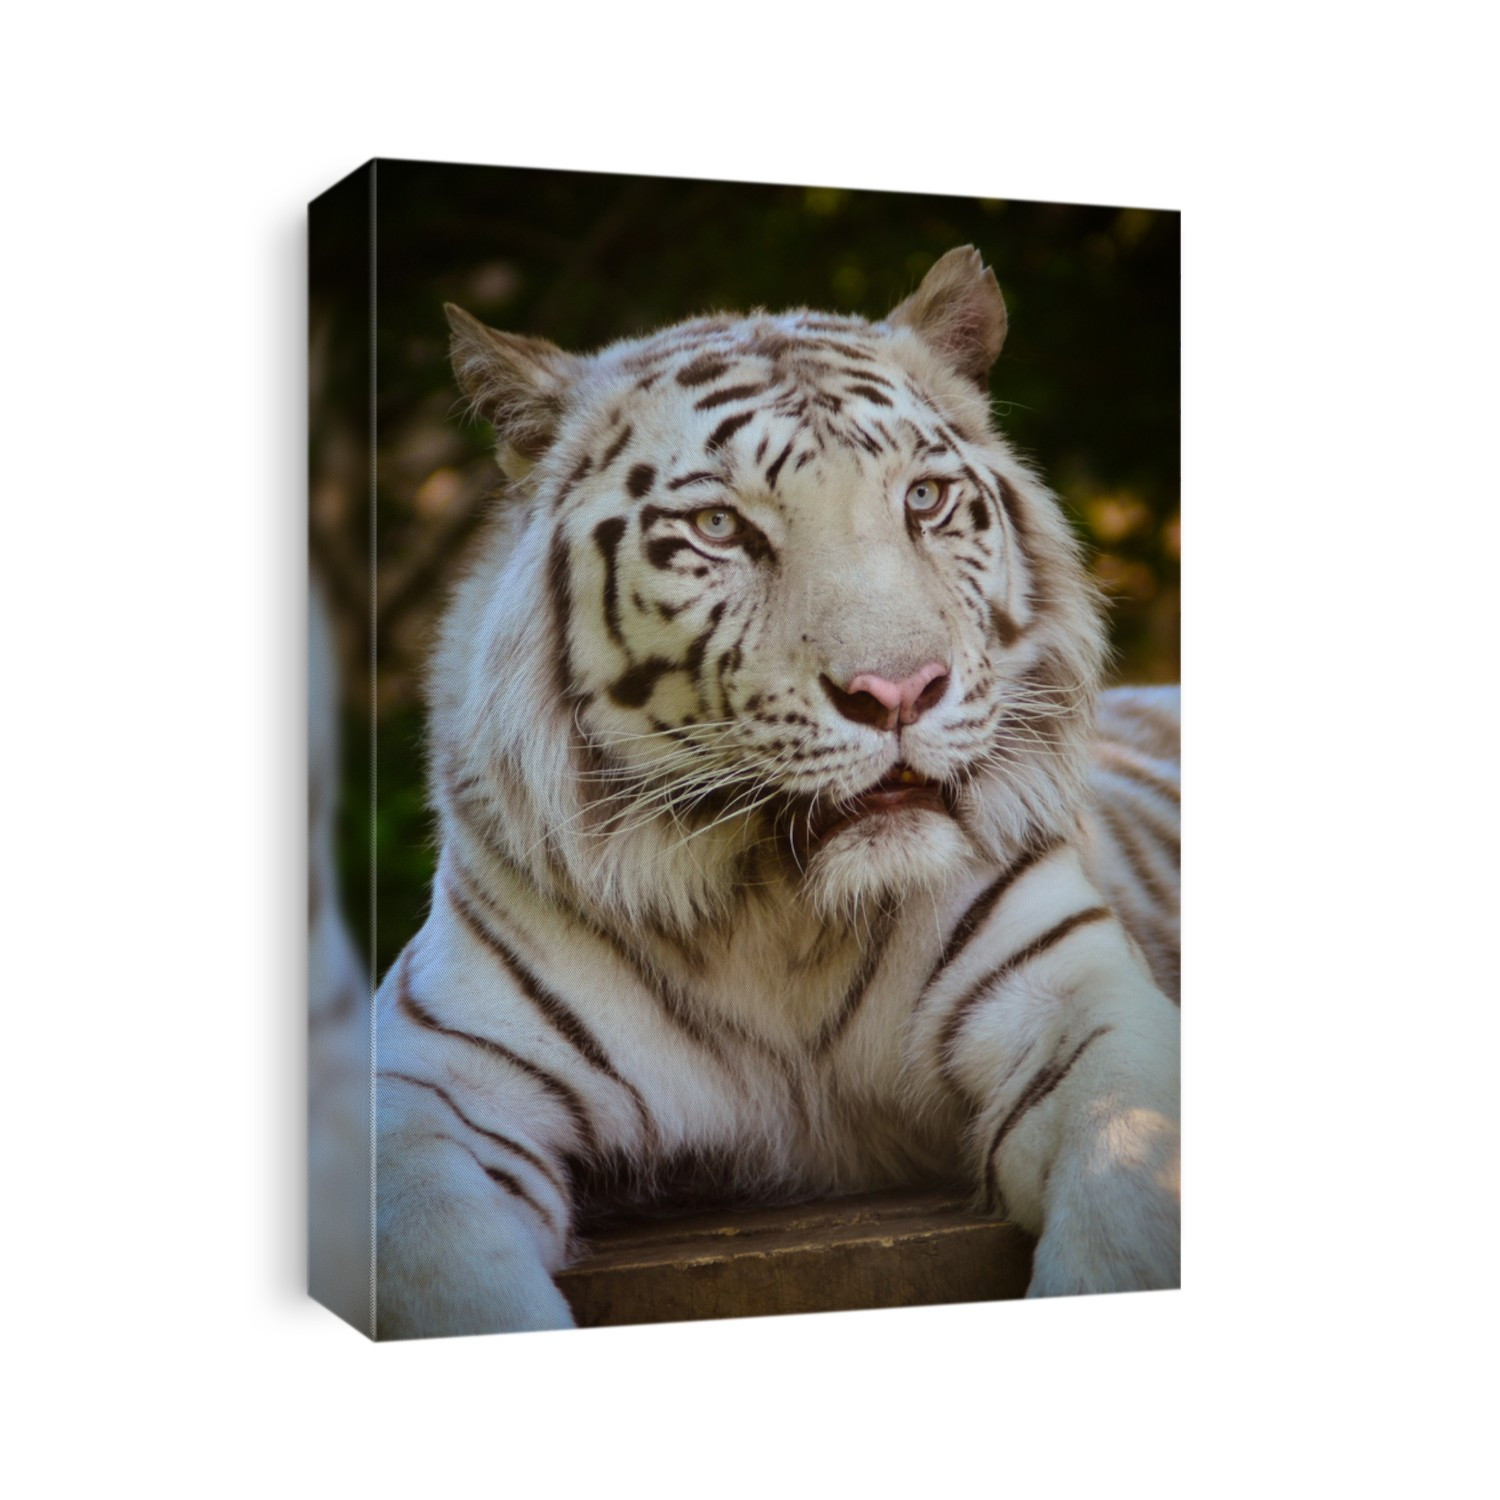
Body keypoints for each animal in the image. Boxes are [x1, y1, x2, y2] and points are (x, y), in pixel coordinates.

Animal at [372, 246, 1181, 1338]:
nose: (898, 692)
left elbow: (1129, 1202)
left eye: (923, 500)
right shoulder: (422, 1085)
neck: (781, 913)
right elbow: (439, 1274)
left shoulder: (1086, 1007)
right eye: (720, 527)